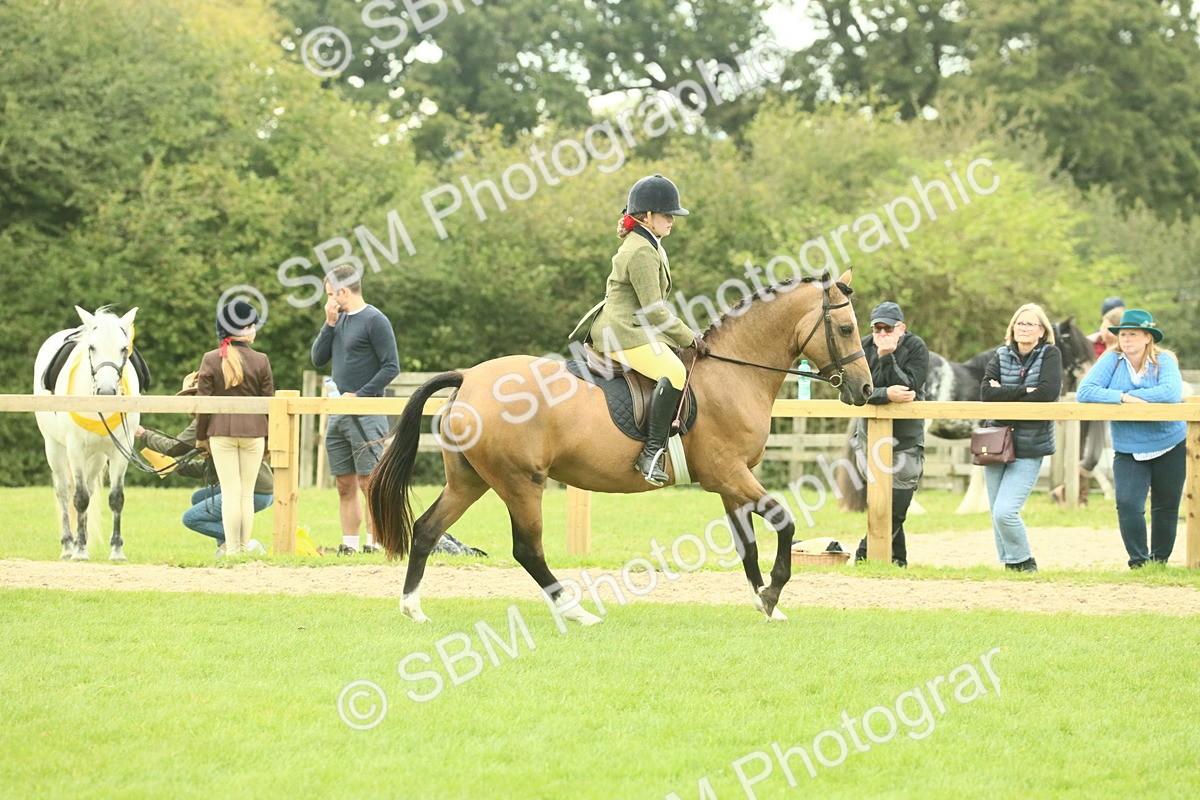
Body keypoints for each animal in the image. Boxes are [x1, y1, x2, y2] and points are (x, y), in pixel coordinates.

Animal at [34, 306, 140, 561]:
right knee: (64, 492)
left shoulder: (121, 449)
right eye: (92, 347)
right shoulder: (75, 449)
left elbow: (116, 498)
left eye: (124, 349)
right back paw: (68, 545)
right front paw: (80, 549)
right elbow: (79, 498)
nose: (106, 392)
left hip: (98, 456)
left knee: (90, 490)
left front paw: (117, 550)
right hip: (54, 448)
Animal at [366, 271, 873, 624]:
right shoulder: (729, 474)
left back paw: (413, 608)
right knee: (528, 550)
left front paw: (765, 604)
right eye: (847, 328)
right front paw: (772, 594)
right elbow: (785, 522)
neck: (734, 372)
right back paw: (576, 611)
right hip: (520, 482)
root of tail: (469, 377)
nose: (866, 389)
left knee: (428, 530)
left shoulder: (733, 483)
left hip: (470, 480)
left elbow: (747, 548)